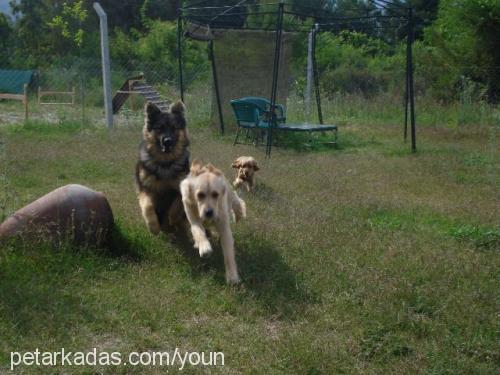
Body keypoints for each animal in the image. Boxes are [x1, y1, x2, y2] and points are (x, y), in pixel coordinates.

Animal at [135, 100, 189, 235]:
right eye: (160, 128)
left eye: (174, 128)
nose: (167, 141)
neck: (165, 163)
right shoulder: (146, 189)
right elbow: (148, 206)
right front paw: (153, 226)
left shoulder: (181, 187)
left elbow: (177, 204)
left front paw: (173, 219)